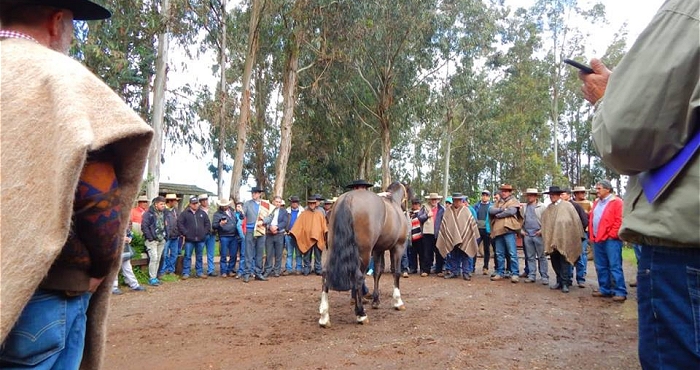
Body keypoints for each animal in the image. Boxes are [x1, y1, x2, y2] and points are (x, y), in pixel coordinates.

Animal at [318, 181, 410, 326]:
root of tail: (348, 198)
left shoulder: (378, 250)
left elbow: (377, 272)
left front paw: (376, 301)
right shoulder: (398, 247)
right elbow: (396, 272)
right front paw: (398, 301)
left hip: (333, 250)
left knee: (325, 274)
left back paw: (324, 316)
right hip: (364, 253)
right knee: (358, 277)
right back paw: (361, 314)